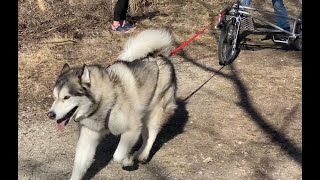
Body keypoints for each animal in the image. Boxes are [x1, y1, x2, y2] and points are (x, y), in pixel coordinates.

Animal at [47, 28, 178, 179]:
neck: (103, 101)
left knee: (151, 134)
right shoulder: (88, 135)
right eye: (54, 97)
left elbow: (117, 155)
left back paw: (143, 154)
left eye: (66, 97)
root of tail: (158, 55)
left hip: (154, 112)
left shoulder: (132, 129)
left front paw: (127, 161)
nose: (50, 114)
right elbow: (79, 164)